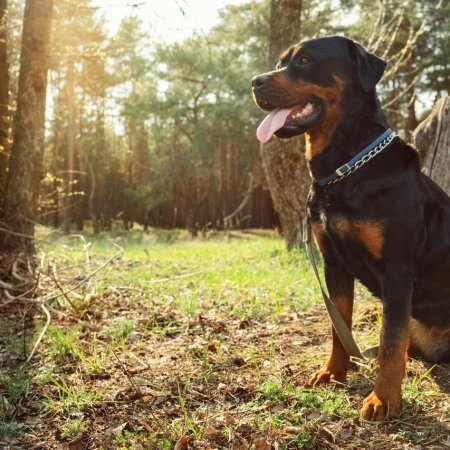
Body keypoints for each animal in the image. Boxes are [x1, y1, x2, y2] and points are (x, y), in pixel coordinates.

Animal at [251, 36, 450, 422]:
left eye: (305, 60)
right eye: (281, 62)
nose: (255, 81)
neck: (345, 170)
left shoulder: (398, 270)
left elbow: (390, 341)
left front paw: (383, 399)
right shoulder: (334, 265)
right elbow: (338, 326)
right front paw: (333, 372)